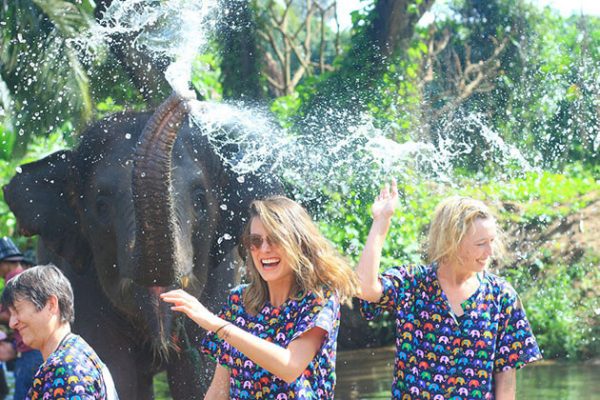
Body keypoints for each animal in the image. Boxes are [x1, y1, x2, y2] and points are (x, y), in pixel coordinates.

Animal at [2, 93, 282, 396]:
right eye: (101, 205)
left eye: (199, 200)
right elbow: (116, 370)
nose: (185, 97)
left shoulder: (223, 277)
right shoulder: (81, 280)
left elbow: (201, 377)